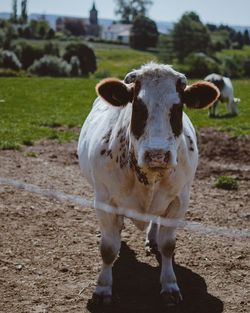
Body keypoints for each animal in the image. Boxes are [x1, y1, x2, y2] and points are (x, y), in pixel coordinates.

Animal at [77, 62, 219, 306]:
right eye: (138, 106)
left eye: (178, 107)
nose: (157, 155)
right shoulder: (104, 201)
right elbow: (108, 248)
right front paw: (103, 288)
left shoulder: (179, 200)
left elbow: (168, 246)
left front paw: (170, 285)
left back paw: (151, 239)